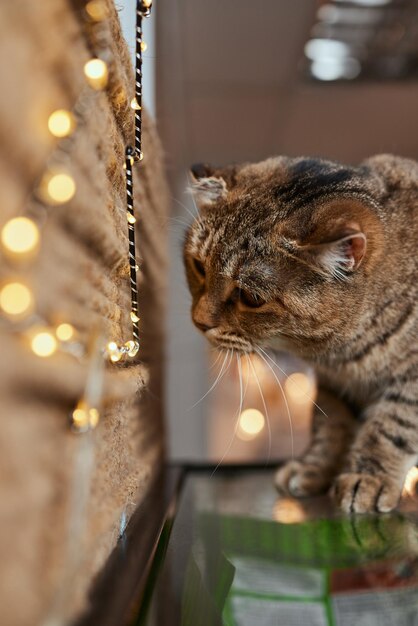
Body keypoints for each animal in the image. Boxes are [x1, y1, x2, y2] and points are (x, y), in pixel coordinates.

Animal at [185, 155, 418, 512]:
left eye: (251, 298)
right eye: (199, 266)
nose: (199, 321)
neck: (342, 355)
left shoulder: (410, 380)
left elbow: (393, 424)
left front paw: (368, 476)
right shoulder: (333, 384)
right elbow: (330, 424)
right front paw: (314, 468)